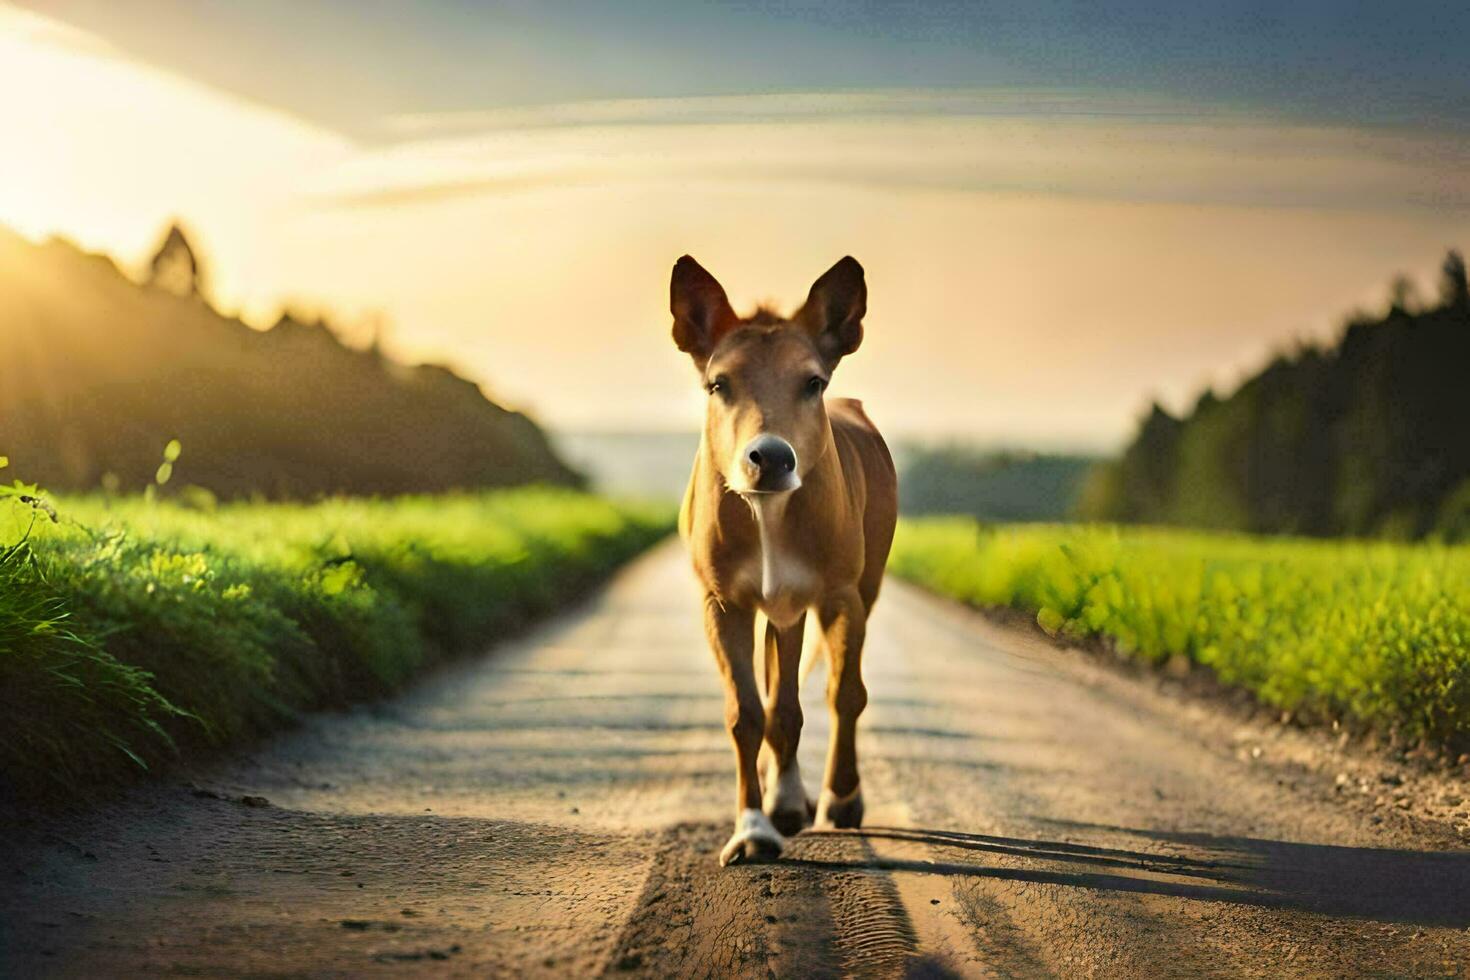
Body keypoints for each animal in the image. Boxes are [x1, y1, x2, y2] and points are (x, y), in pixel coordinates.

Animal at [670, 255, 893, 863]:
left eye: (812, 382)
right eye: (719, 383)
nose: (769, 457)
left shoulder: (841, 595)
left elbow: (844, 693)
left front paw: (841, 798)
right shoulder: (722, 601)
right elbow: (748, 712)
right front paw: (752, 829)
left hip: (859, 583)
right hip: (777, 607)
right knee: (780, 701)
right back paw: (784, 798)